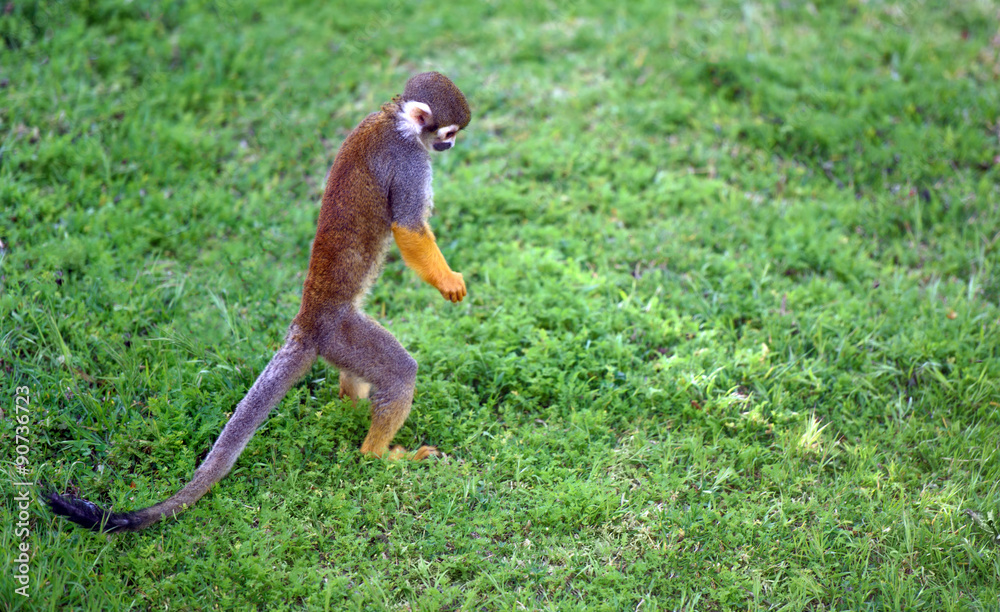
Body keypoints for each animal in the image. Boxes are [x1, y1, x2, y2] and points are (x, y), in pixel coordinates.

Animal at [46, 71, 471, 532]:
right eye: (448, 133)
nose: (449, 147)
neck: (396, 121)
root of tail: (305, 323)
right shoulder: (409, 162)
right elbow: (408, 227)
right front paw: (449, 282)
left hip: (340, 338)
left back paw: (351, 408)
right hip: (341, 333)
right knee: (400, 374)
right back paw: (378, 454)